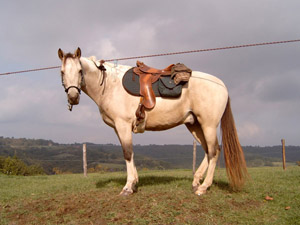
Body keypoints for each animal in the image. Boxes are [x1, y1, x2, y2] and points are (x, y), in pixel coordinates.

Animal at [57, 47, 247, 195]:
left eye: (80, 71)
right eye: (62, 72)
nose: (73, 97)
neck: (110, 86)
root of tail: (221, 85)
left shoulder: (123, 125)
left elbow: (127, 153)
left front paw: (128, 187)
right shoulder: (118, 128)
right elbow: (130, 153)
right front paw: (134, 183)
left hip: (208, 125)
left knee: (214, 151)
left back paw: (203, 187)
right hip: (194, 125)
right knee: (208, 151)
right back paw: (196, 182)